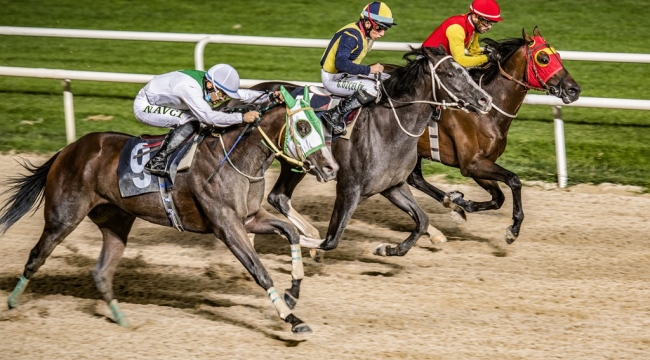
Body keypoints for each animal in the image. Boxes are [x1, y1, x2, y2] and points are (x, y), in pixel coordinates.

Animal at [3, 90, 340, 334]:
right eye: (303, 127)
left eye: (321, 126)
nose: (331, 168)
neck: (236, 160)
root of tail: (68, 150)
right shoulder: (227, 226)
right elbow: (260, 270)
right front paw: (292, 319)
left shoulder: (250, 219)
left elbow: (291, 232)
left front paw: (294, 289)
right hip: (63, 217)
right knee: (36, 257)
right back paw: (12, 304)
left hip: (116, 221)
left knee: (101, 272)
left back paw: (122, 319)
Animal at [264, 46, 492, 258]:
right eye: (450, 74)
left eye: (464, 70)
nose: (485, 100)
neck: (387, 130)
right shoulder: (349, 190)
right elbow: (330, 240)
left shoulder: (393, 186)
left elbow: (422, 220)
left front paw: (387, 249)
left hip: (294, 166)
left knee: (278, 197)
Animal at [404, 26, 584, 243]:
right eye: (543, 58)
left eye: (558, 55)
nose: (574, 90)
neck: (487, 112)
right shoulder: (471, 163)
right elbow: (514, 180)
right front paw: (513, 229)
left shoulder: (482, 163)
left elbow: (499, 197)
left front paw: (461, 204)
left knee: (415, 178)